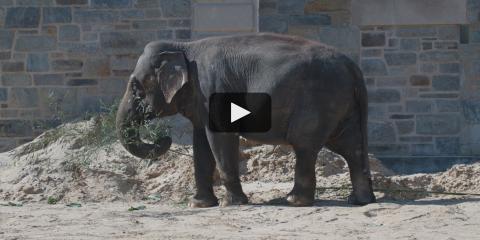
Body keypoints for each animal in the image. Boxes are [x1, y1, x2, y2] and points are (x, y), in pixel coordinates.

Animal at [115, 32, 376, 208]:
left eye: (136, 88)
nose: (164, 138)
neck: (184, 47)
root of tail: (354, 67)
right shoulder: (200, 98)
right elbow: (201, 144)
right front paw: (199, 205)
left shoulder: (213, 89)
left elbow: (220, 138)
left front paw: (231, 203)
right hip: (343, 105)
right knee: (351, 147)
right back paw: (359, 201)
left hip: (318, 101)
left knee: (305, 145)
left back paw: (293, 200)